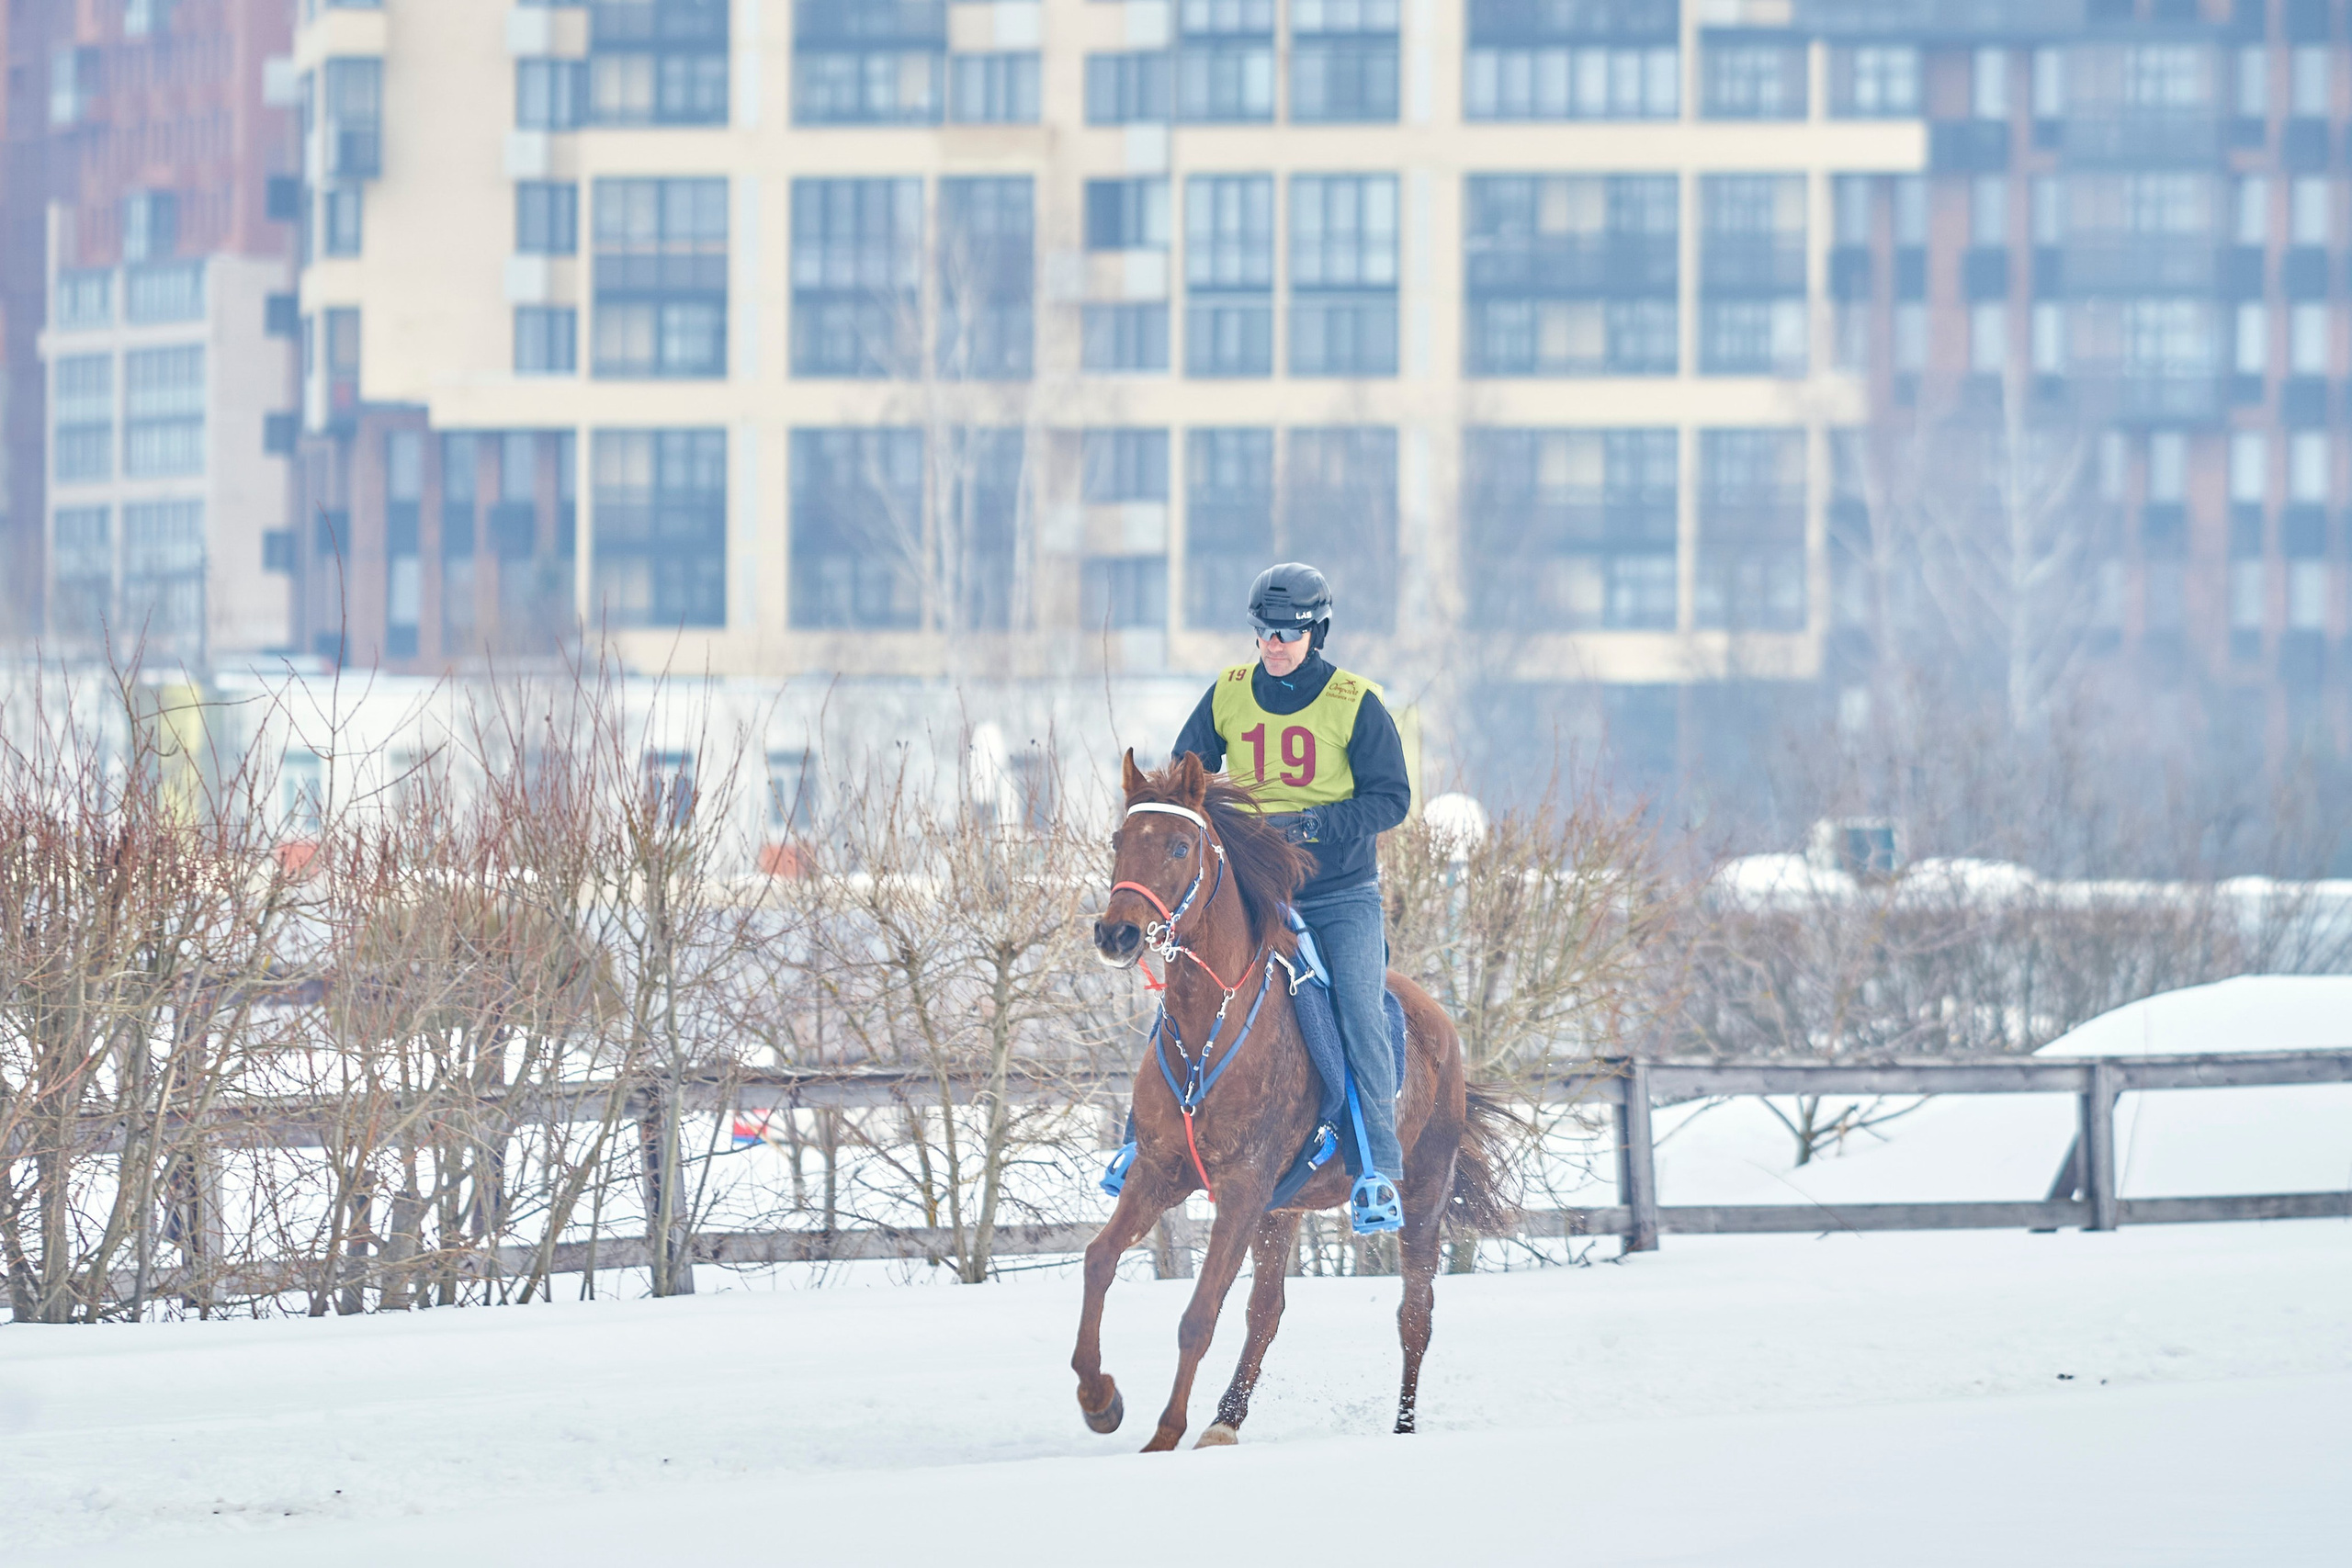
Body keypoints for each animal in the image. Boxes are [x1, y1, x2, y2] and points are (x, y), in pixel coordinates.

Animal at [1073, 750, 1515, 1452]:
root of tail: (1441, 1025)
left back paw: (1403, 1424)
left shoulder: (1242, 1189)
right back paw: (1225, 1420)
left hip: (1421, 1194)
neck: (1207, 1028)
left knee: (1415, 1313)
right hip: (1282, 1212)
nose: (1115, 932)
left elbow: (1199, 1314)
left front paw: (1164, 1434)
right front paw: (1099, 1398)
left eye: (1178, 845)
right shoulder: (1159, 1173)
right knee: (1267, 1311)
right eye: (1120, 840)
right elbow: (1098, 1261)